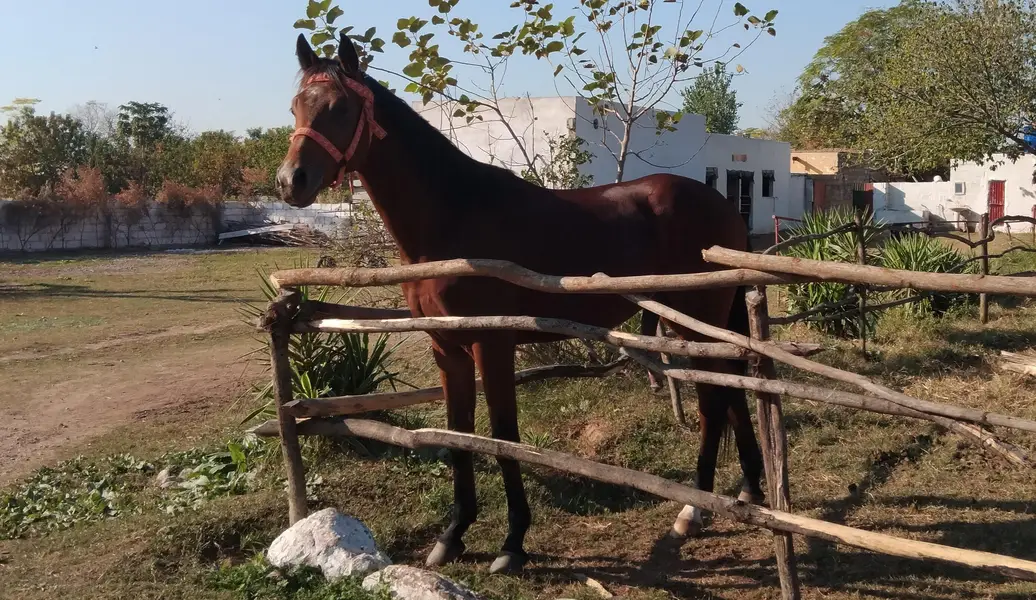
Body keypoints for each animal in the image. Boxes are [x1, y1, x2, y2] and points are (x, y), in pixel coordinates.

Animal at [276, 32, 765, 575]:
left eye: (339, 108)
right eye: (296, 106)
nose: (291, 181)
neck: (454, 216)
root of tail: (723, 206)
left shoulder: (492, 345)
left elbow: (503, 437)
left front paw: (512, 543)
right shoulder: (447, 349)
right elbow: (459, 435)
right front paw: (453, 535)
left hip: (697, 319)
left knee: (713, 402)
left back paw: (694, 510)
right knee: (731, 391)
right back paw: (748, 490)